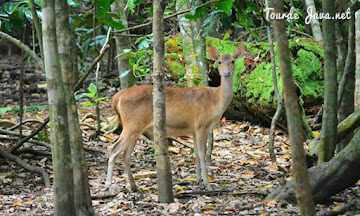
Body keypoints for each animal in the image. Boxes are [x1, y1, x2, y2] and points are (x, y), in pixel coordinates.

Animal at [104, 44, 245, 192]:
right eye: (219, 62)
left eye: (233, 61)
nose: (226, 73)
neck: (215, 101)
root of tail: (117, 98)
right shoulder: (202, 125)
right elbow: (201, 154)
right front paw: (208, 185)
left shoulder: (193, 128)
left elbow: (196, 153)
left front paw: (198, 180)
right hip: (132, 123)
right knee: (114, 150)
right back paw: (108, 186)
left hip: (135, 127)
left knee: (125, 154)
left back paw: (134, 186)